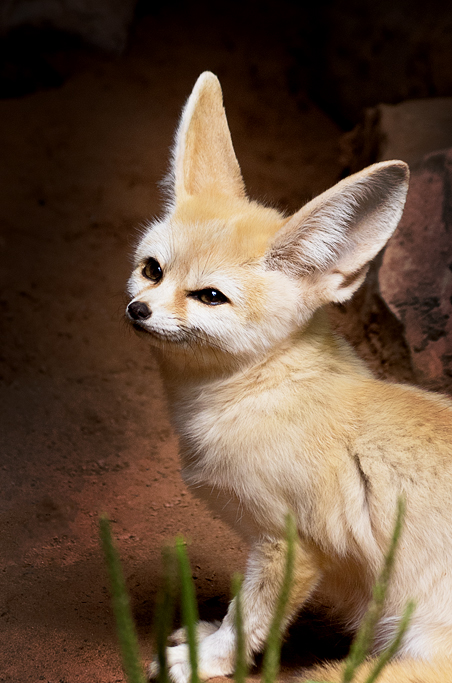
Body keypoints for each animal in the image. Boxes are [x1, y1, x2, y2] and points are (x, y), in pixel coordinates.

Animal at [125, 72, 452, 680]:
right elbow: (238, 610)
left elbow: (248, 618)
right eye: (152, 270)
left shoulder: (291, 544)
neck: (263, 388)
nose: (138, 310)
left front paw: (207, 659)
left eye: (210, 296)